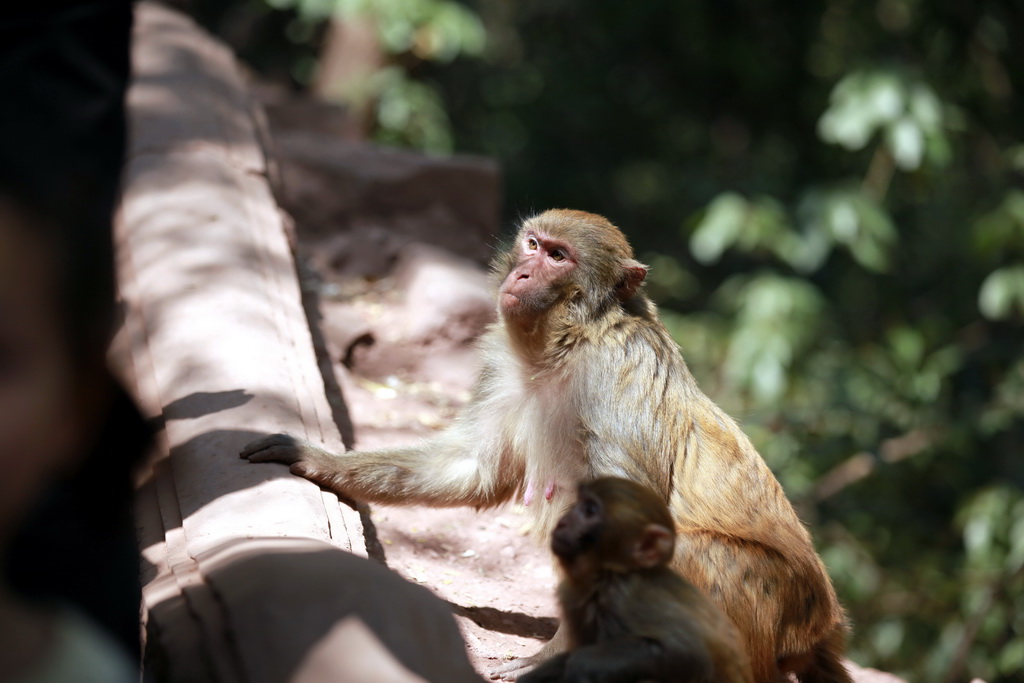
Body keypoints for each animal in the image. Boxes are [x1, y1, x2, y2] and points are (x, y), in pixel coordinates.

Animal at [520, 475, 753, 683]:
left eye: (590, 511)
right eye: (578, 505)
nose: (563, 522)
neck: (605, 576)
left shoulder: (626, 595)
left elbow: (689, 654)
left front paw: (580, 664)